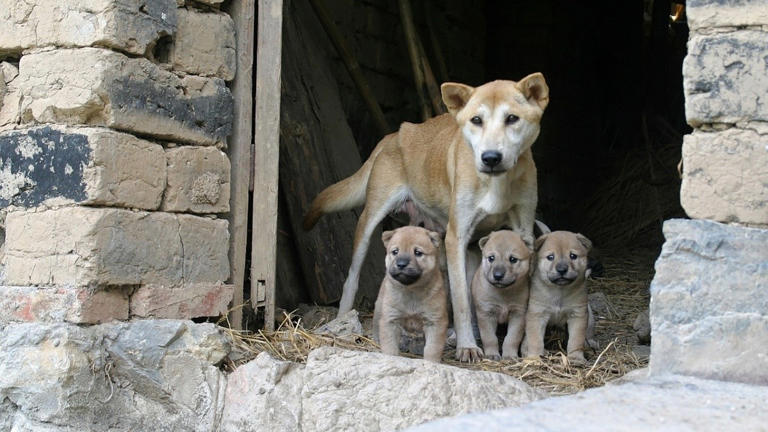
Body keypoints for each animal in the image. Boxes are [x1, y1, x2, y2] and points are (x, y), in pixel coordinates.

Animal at [374, 224, 450, 362]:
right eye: (395, 251)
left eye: (418, 253)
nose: (401, 264)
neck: (411, 290)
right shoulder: (390, 320)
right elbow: (390, 346)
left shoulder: (435, 322)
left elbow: (432, 348)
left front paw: (431, 362)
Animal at [472, 230, 532, 362]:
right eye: (491, 258)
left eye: (513, 259)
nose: (498, 275)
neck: (503, 293)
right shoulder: (486, 313)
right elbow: (489, 337)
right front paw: (492, 354)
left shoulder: (519, 314)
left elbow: (512, 338)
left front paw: (509, 355)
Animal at [524, 231, 596, 362]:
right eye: (550, 257)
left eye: (573, 256)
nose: (562, 269)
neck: (559, 292)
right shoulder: (537, 315)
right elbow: (535, 340)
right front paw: (535, 357)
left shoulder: (577, 315)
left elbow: (576, 340)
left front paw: (576, 358)